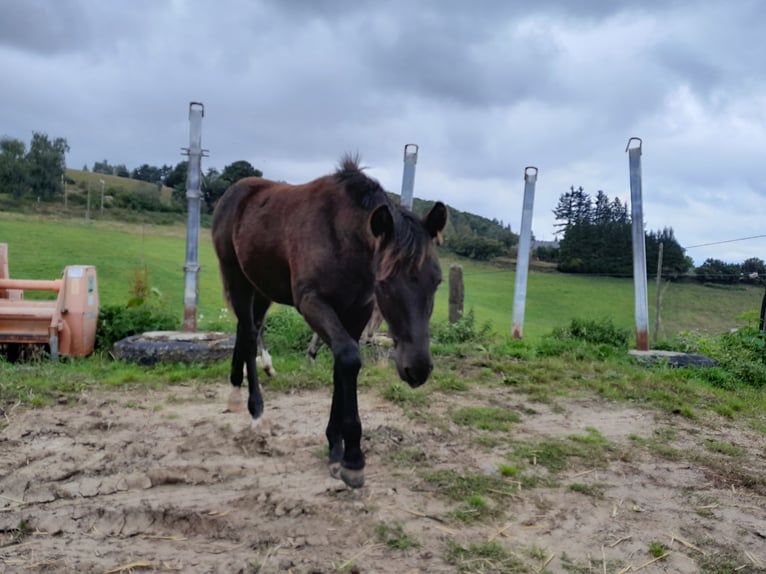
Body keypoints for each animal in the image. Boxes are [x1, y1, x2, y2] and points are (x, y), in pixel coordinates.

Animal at [212, 158, 450, 490]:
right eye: (384, 282)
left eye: (437, 281)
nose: (417, 369)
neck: (340, 237)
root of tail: (235, 192)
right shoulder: (312, 303)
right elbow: (349, 359)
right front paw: (353, 457)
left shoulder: (357, 311)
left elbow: (342, 365)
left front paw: (335, 447)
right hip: (237, 279)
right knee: (248, 333)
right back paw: (256, 411)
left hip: (261, 288)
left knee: (248, 329)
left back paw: (237, 392)